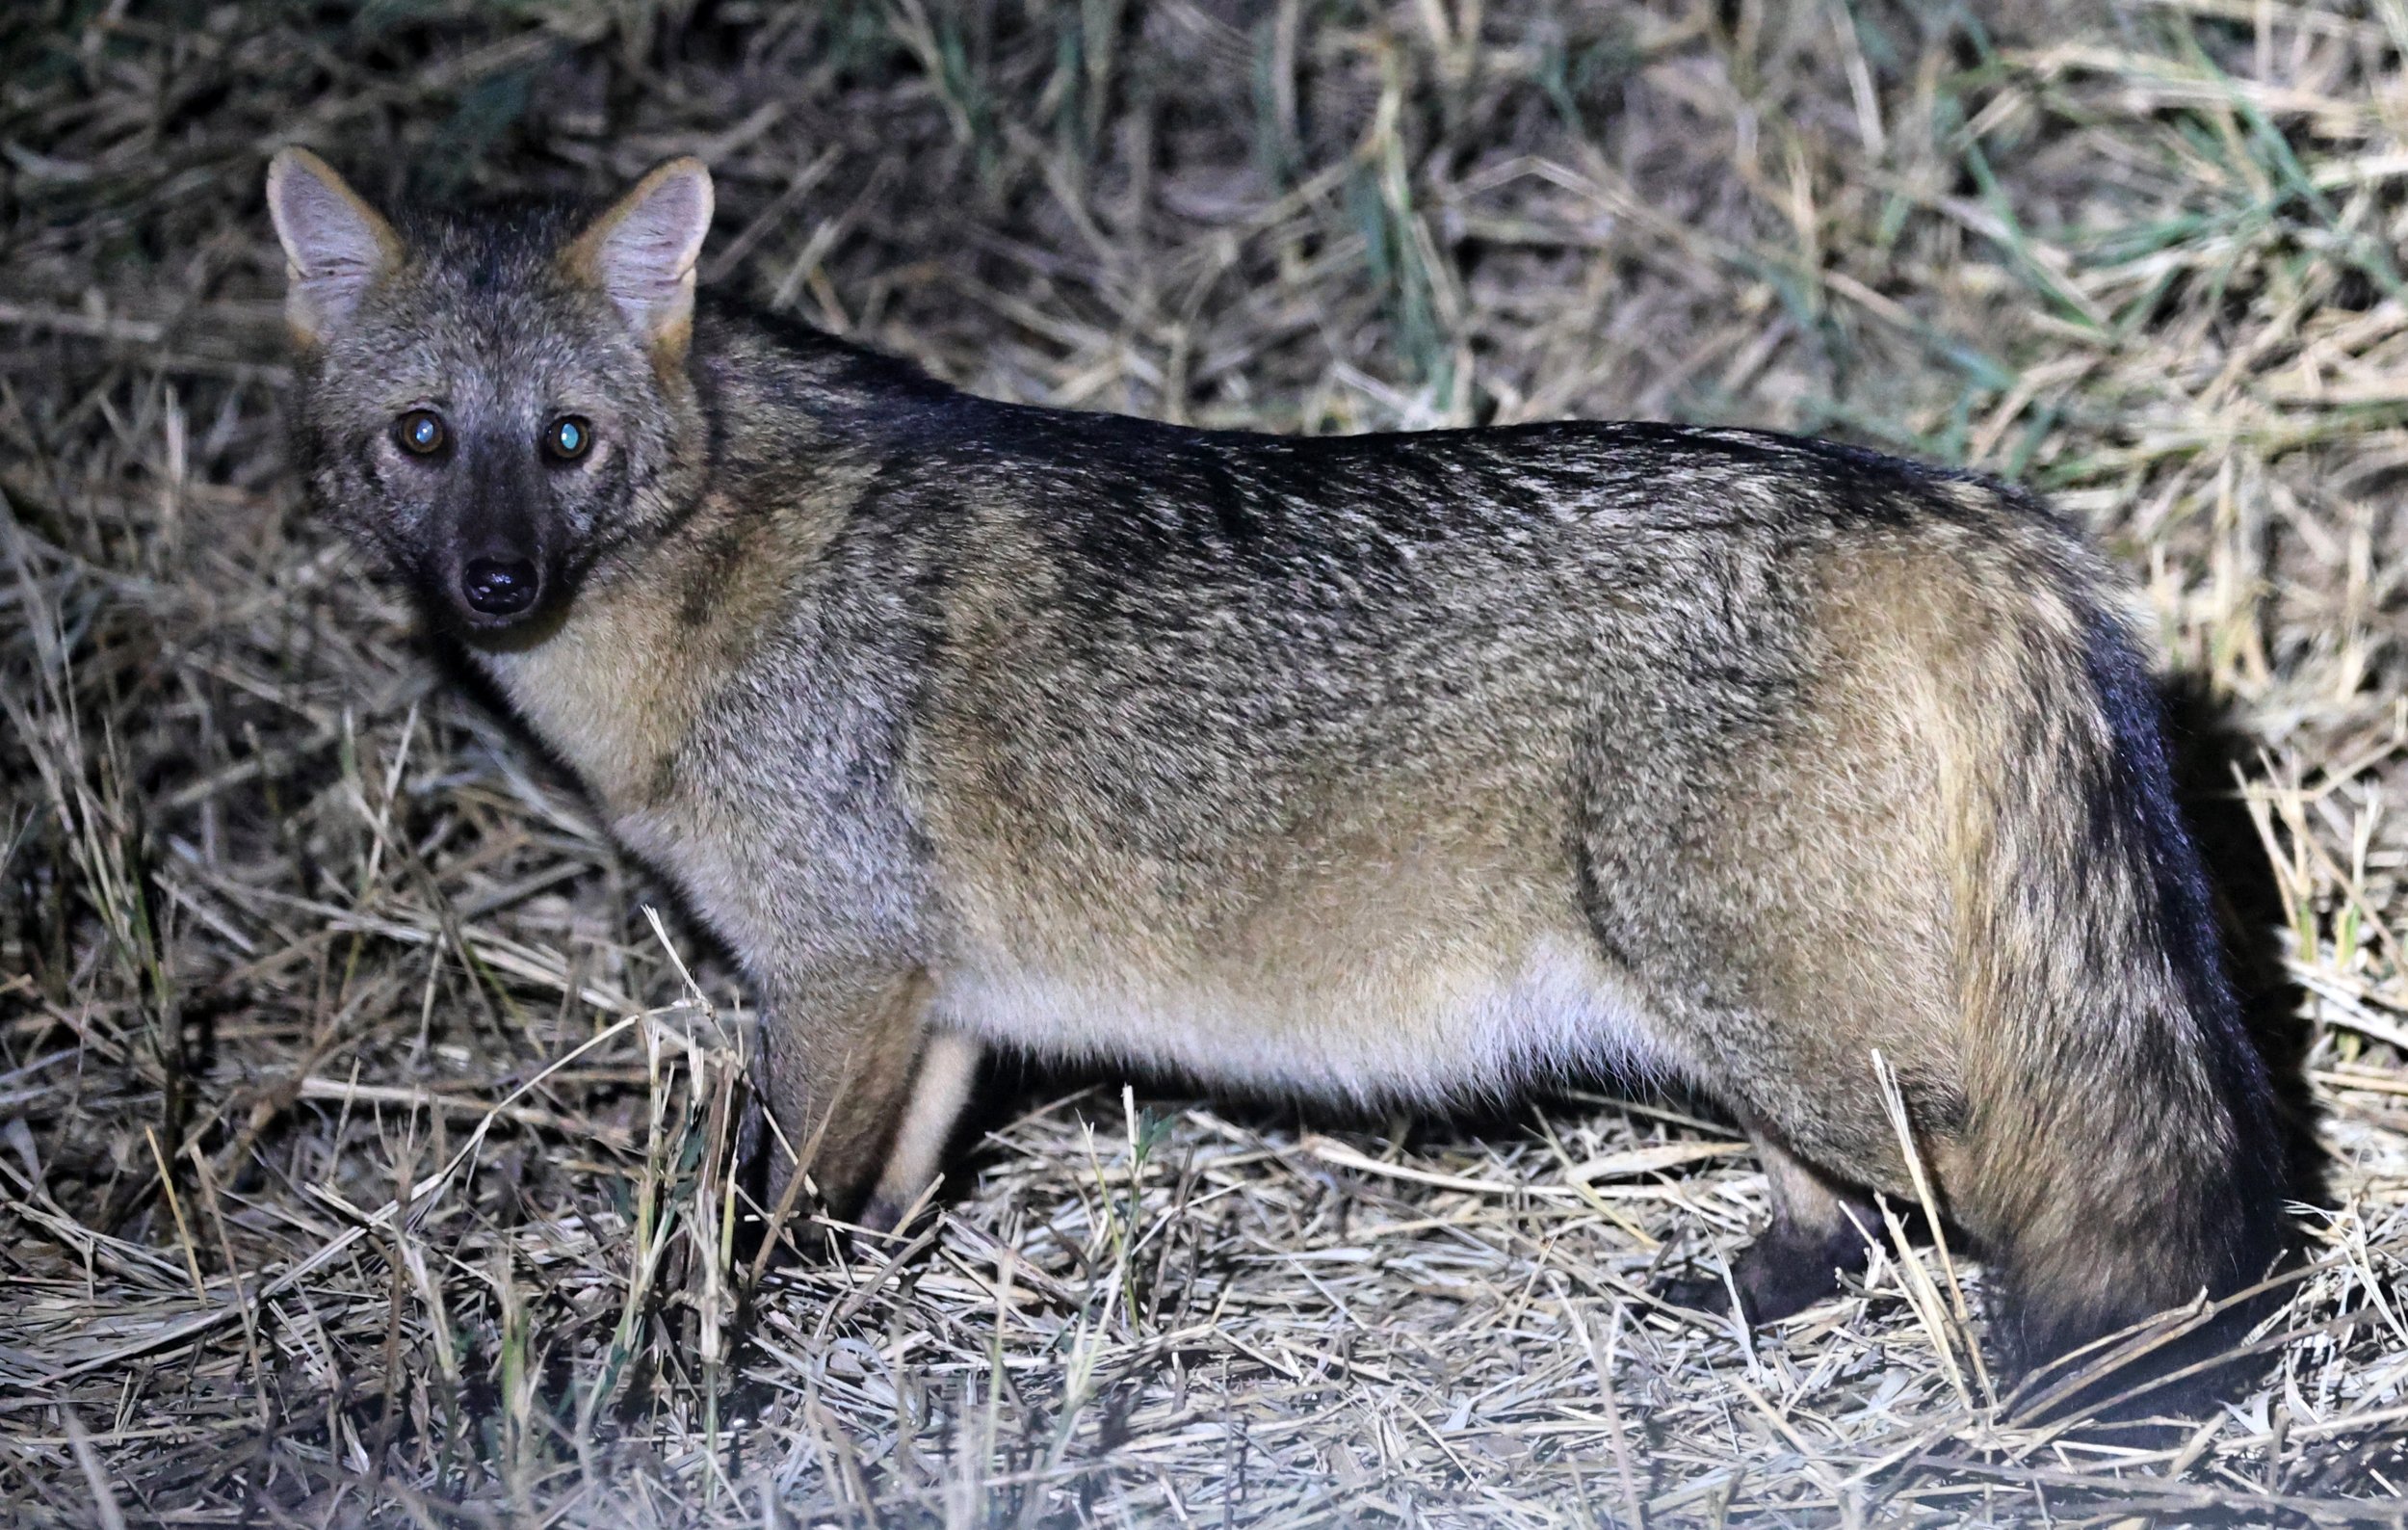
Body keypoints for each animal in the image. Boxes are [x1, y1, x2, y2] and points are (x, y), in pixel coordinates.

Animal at [266, 146, 2287, 1400]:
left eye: (566, 442)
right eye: (425, 440)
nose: (493, 584)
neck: (714, 576)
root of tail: (1941, 501)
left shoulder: (835, 979)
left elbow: (748, 1218)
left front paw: (692, 1365)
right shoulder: (930, 1013)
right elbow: (873, 1210)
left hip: (1802, 1026)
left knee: (2015, 1192)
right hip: (1751, 1025)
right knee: (1848, 1217)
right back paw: (1745, 1290)